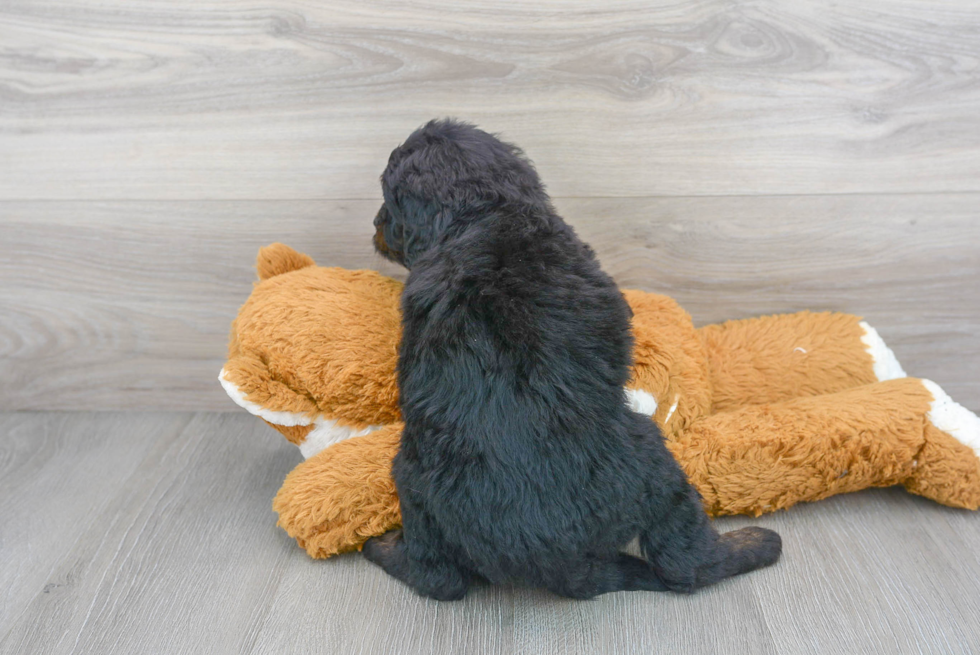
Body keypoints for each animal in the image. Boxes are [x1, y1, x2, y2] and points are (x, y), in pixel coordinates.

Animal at [364, 119, 776, 600]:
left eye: (387, 201)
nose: (373, 224)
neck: (483, 213)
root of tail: (551, 562)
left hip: (411, 480)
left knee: (442, 579)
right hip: (653, 465)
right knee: (684, 562)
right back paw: (752, 544)